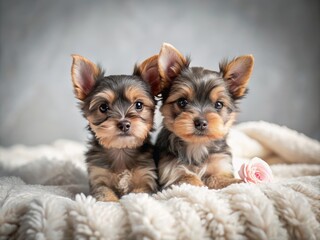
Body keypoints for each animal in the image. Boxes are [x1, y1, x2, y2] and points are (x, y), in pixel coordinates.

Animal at [71, 54, 159, 201]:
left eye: (139, 105)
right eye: (103, 107)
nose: (124, 124)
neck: (121, 150)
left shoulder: (146, 179)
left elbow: (138, 195)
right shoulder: (98, 176)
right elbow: (104, 193)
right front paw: (110, 201)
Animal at [156, 42, 255, 189]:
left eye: (218, 104)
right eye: (182, 102)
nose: (201, 123)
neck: (197, 145)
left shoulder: (220, 164)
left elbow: (217, 179)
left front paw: (238, 182)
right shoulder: (171, 171)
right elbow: (188, 179)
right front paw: (197, 182)